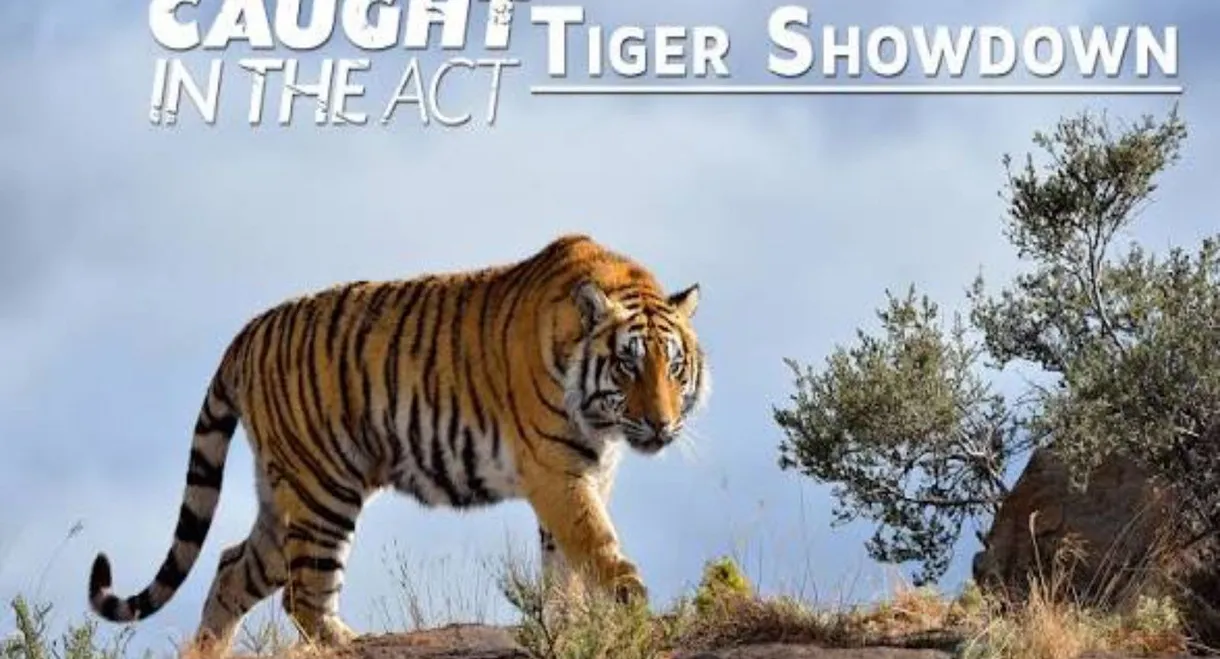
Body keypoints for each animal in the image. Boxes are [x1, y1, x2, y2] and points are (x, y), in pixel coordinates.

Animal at [85, 233, 710, 653]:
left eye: (674, 368)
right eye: (627, 366)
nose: (660, 425)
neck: (602, 422)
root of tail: (247, 332)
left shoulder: (588, 472)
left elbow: (565, 563)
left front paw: (570, 623)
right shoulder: (557, 471)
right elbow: (595, 542)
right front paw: (629, 604)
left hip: (282, 495)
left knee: (232, 568)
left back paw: (208, 653)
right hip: (324, 489)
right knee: (302, 594)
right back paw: (347, 640)